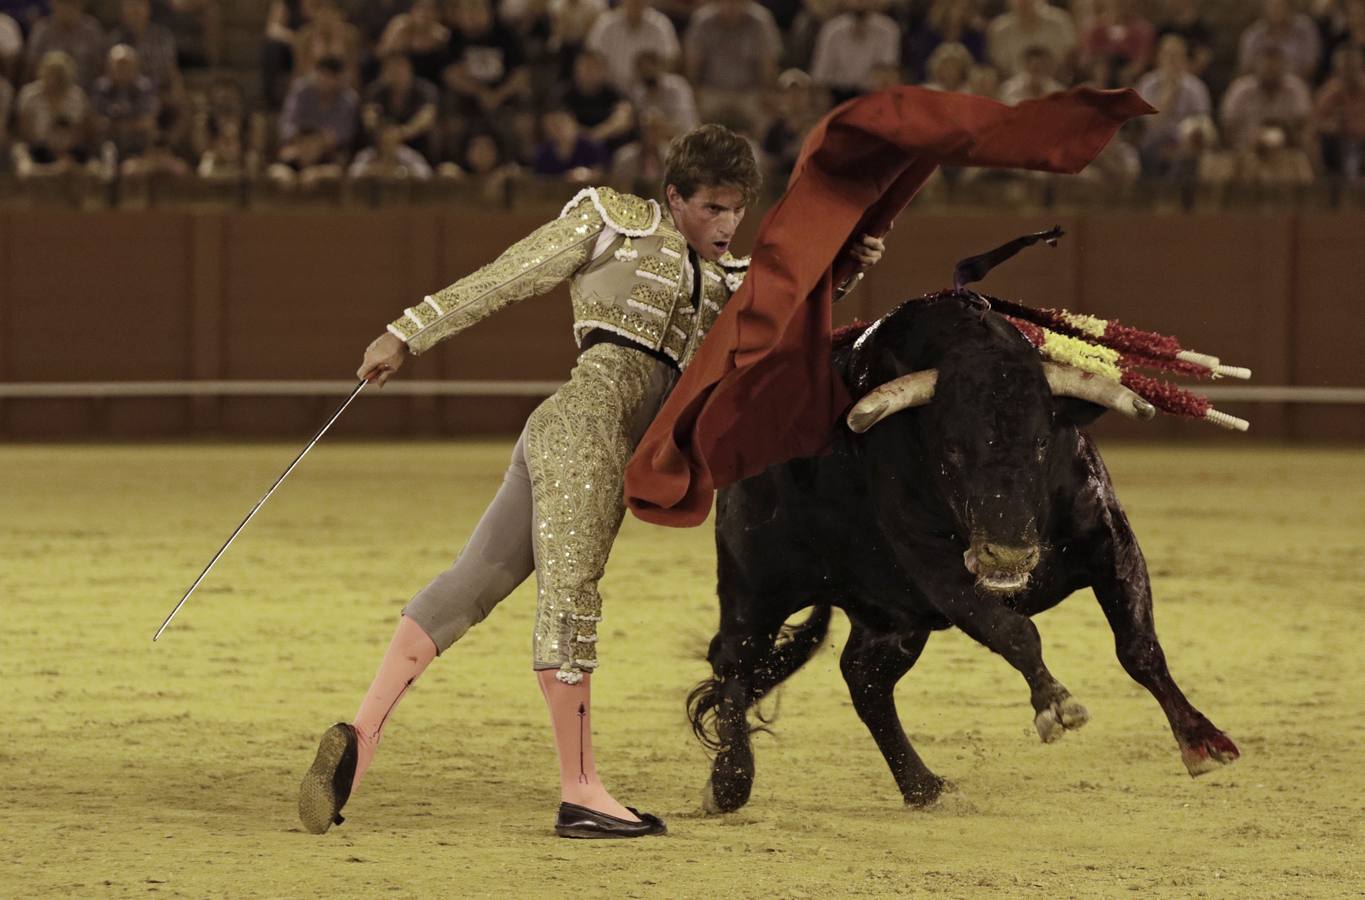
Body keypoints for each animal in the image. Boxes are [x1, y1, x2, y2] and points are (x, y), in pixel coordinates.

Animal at [687, 285, 1244, 813]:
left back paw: (923, 787)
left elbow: (1138, 645)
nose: (1008, 556)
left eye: (1042, 441)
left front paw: (1202, 742)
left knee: (864, 681)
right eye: (951, 447)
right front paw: (1055, 706)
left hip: (897, 617)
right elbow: (1014, 631)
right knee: (735, 660)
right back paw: (730, 782)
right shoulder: (938, 571)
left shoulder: (1110, 538)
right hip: (755, 582)